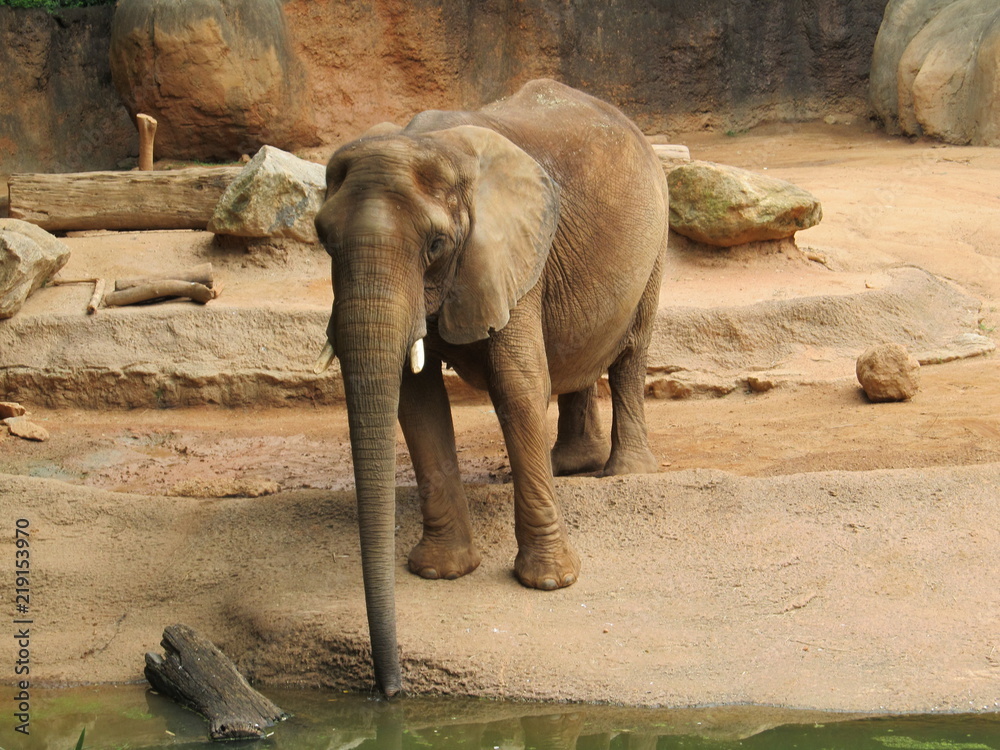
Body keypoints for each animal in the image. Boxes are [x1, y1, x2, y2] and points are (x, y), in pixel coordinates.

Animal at [313, 79, 668, 697]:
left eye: (435, 245)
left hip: (656, 235)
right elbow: (418, 400)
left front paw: (549, 584)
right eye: (322, 239)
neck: (428, 143)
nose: (391, 691)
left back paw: (624, 473)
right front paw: (439, 572)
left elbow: (518, 386)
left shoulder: (512, 252)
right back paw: (571, 465)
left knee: (631, 351)